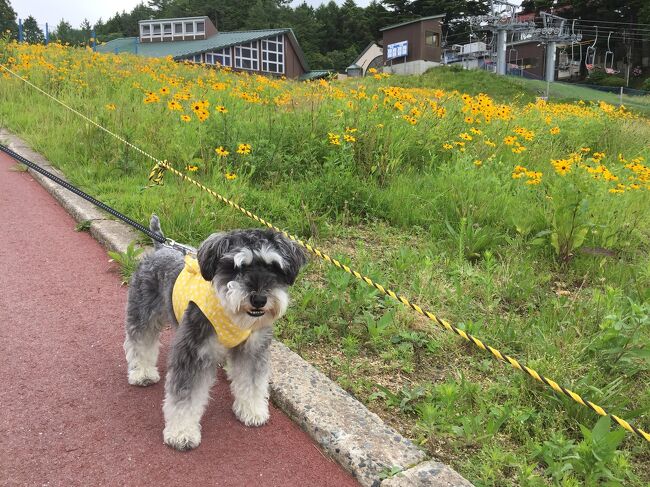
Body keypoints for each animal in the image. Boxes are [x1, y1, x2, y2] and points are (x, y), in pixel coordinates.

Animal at [123, 215, 306, 452]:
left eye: (274, 268)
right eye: (237, 267)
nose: (259, 299)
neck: (231, 312)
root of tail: (161, 247)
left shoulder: (253, 349)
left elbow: (252, 382)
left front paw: (252, 410)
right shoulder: (193, 352)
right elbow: (185, 397)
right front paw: (182, 432)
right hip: (143, 312)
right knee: (140, 341)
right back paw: (142, 373)